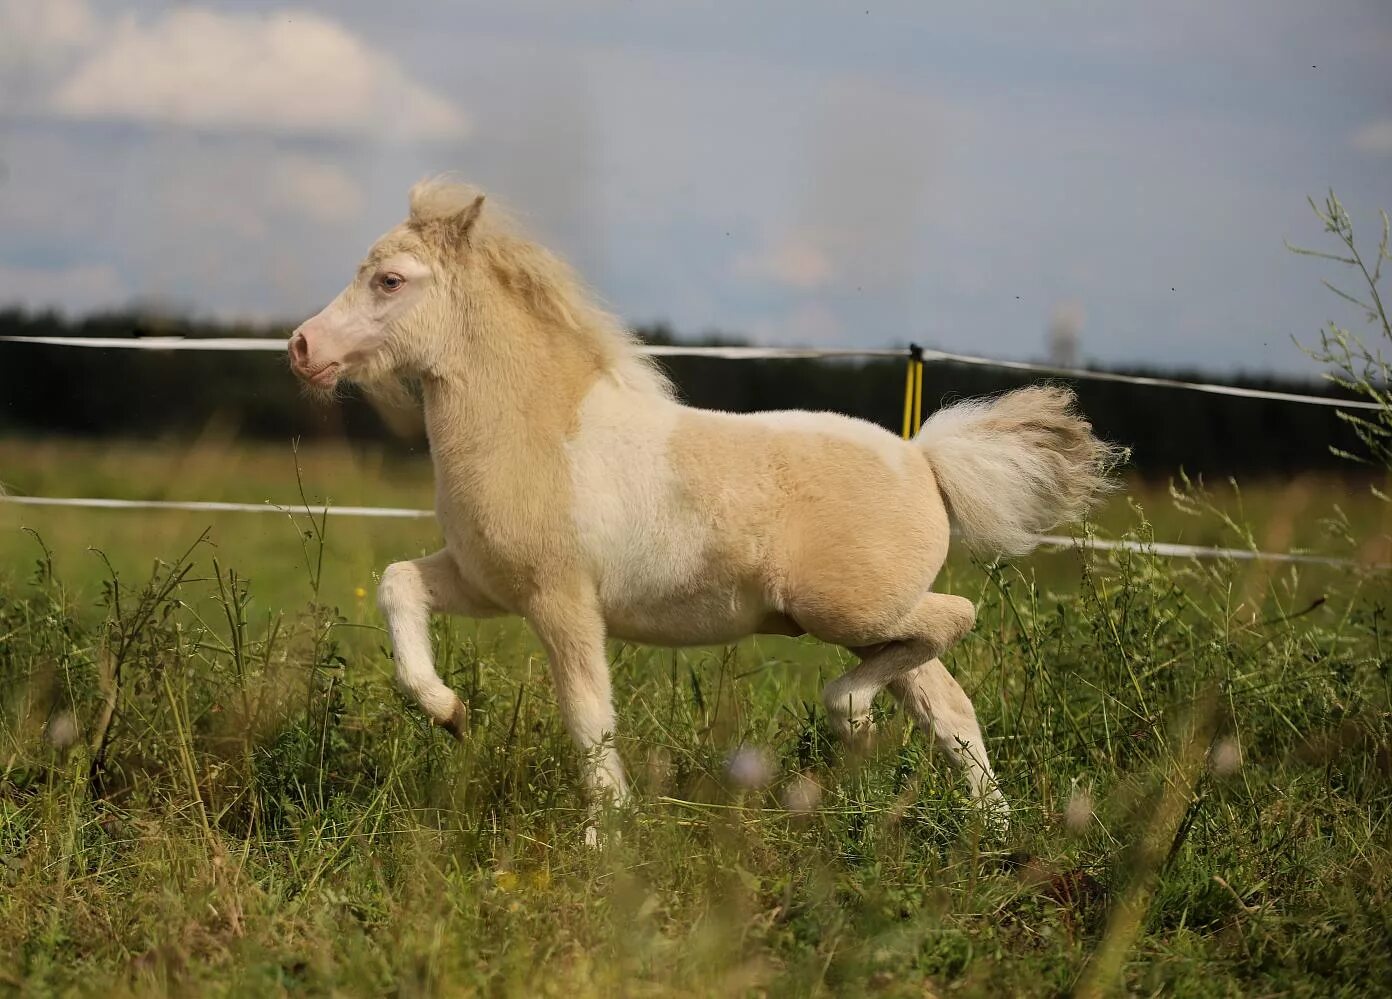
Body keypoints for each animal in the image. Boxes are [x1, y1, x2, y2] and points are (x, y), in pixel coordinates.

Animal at [288, 179, 1113, 834]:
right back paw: (990, 827)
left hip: (848, 610)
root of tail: (923, 459)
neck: (542, 431)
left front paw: (606, 836)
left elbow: (588, 716)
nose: (301, 347)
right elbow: (397, 583)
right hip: (870, 622)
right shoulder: (487, 584)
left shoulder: (562, 602)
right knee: (949, 703)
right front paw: (448, 711)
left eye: (390, 280)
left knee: (954, 620)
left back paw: (853, 715)